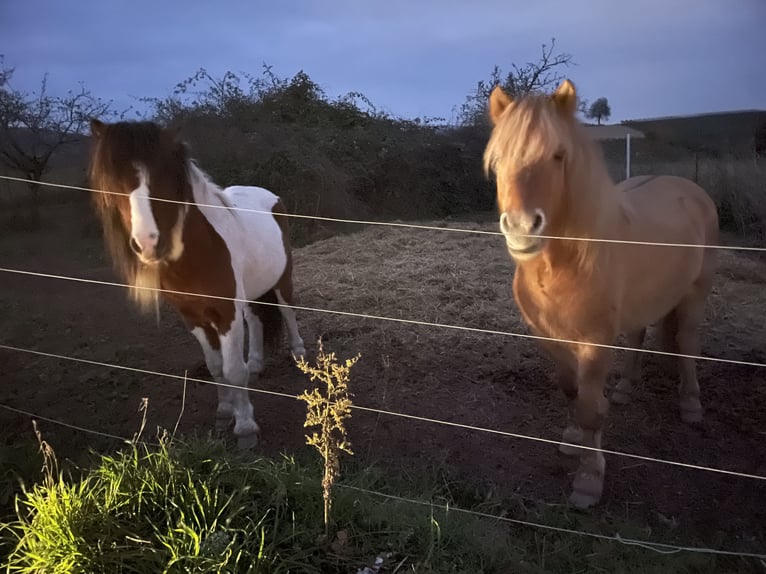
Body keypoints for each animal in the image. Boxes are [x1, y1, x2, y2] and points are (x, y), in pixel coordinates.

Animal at [88, 119, 306, 448]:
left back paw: (300, 355)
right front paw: (224, 413)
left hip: (281, 279)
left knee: (287, 310)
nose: (149, 243)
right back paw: (256, 364)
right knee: (255, 319)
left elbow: (233, 370)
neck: (200, 252)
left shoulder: (225, 312)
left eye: (165, 177)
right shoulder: (192, 316)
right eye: (113, 181)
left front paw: (246, 429)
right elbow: (216, 368)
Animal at [486, 80, 720, 508]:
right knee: (640, 336)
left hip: (696, 294)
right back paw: (626, 388)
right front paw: (572, 439)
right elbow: (571, 392)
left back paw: (691, 404)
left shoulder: (595, 344)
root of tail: (689, 188)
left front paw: (588, 480)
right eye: (497, 161)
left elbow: (592, 408)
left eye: (558, 155)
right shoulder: (547, 336)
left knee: (687, 343)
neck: (565, 262)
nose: (523, 229)